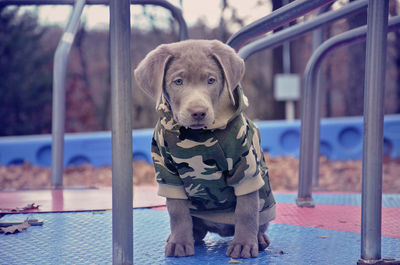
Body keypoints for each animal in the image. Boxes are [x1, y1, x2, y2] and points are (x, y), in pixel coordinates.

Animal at [134, 39, 276, 258]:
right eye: (178, 82)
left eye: (211, 80)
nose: (198, 112)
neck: (198, 135)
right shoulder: (168, 173)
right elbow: (177, 212)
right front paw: (179, 243)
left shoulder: (245, 169)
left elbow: (246, 211)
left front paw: (243, 245)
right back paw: (188, 235)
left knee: (258, 221)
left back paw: (259, 239)